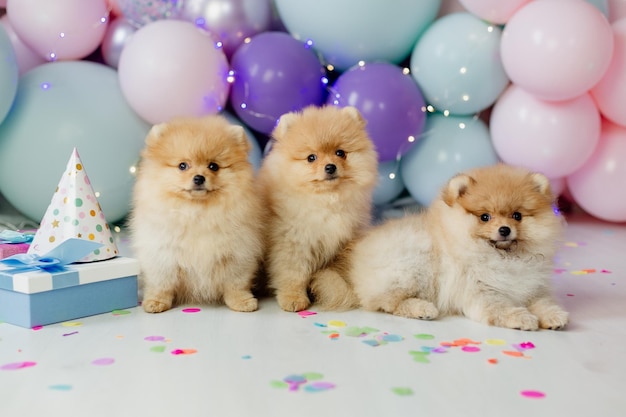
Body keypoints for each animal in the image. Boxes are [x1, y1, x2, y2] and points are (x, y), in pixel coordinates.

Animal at [129, 114, 260, 312]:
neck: (197, 212)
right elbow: (162, 284)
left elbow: (235, 283)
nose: (199, 178)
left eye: (213, 166)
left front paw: (242, 301)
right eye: (183, 166)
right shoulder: (163, 255)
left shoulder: (237, 254)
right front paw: (156, 302)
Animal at [258, 105, 376, 310]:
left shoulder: (347, 241)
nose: (330, 167)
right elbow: (292, 273)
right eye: (311, 158)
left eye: (340, 153)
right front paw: (293, 299)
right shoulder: (292, 242)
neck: (326, 201)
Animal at [348, 164, 568, 330]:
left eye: (517, 216)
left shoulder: (532, 286)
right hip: (411, 264)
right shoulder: (480, 289)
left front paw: (554, 315)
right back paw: (422, 309)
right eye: (485, 217)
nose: (504, 229)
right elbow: (500, 307)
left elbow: (542, 301)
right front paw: (521, 318)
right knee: (388, 302)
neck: (503, 257)